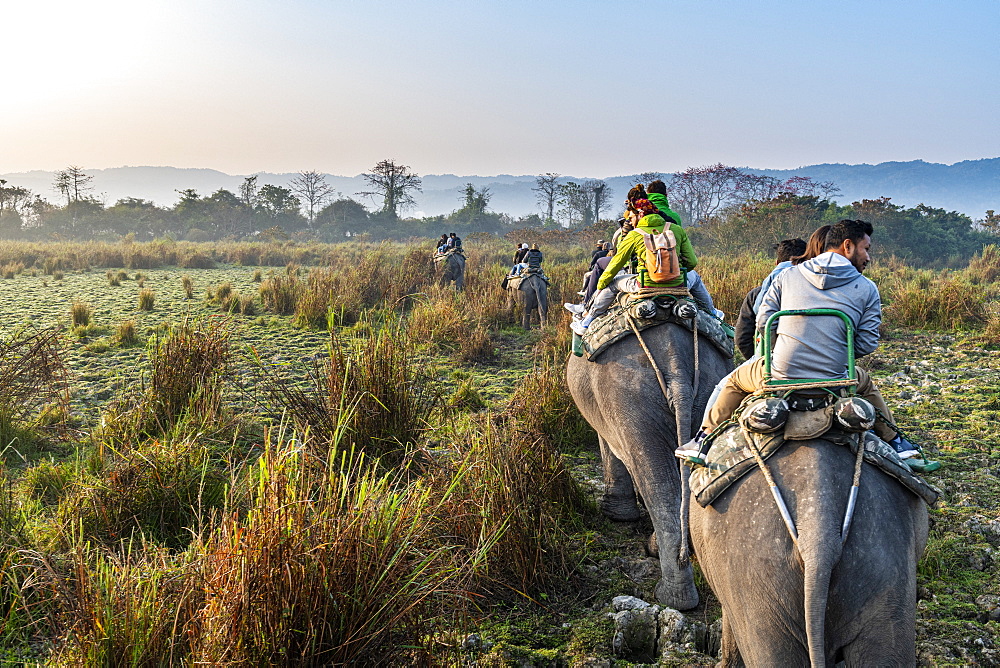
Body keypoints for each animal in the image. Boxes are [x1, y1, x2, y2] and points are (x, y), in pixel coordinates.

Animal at [568, 320, 732, 608]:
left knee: (657, 482)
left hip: (628, 397)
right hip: (709, 395)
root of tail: (677, 370)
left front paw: (615, 516)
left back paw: (671, 596)